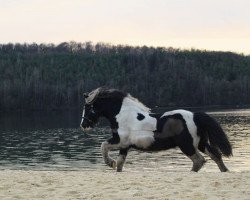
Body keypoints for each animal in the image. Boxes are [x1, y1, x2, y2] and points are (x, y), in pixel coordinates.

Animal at [80, 87, 232, 172]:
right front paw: (113, 165)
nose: (83, 125)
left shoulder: (120, 141)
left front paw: (109, 163)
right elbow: (120, 163)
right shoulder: (125, 146)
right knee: (215, 155)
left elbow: (103, 146)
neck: (122, 114)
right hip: (201, 143)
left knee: (199, 161)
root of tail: (195, 115)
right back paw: (225, 171)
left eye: (88, 107)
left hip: (187, 145)